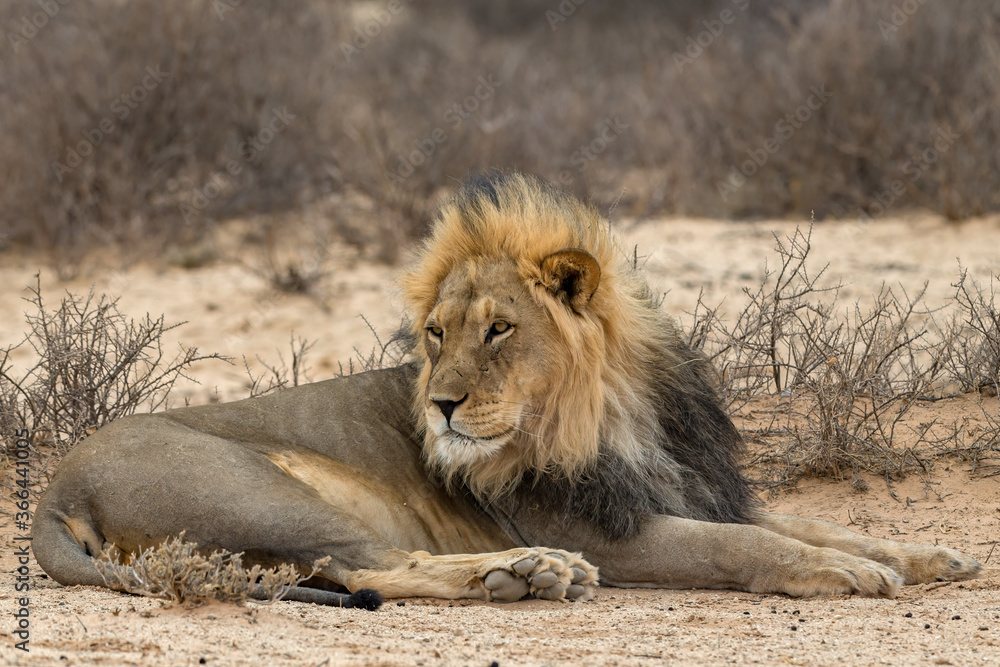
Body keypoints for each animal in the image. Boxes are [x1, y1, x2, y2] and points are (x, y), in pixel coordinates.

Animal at [32, 171, 980, 609]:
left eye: (498, 329)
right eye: (435, 334)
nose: (441, 406)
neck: (619, 414)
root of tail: (54, 488)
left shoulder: (694, 488)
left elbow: (817, 521)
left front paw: (928, 555)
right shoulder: (611, 532)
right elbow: (744, 545)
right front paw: (841, 572)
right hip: (261, 492)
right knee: (374, 562)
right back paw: (527, 573)